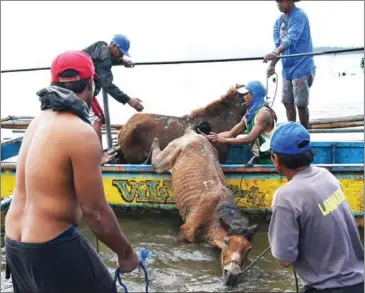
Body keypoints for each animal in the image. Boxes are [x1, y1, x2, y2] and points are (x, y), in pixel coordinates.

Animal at [149, 128, 258, 286]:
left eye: (249, 249)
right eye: (226, 242)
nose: (232, 275)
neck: (217, 212)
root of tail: (191, 133)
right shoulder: (185, 231)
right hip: (164, 159)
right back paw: (155, 142)